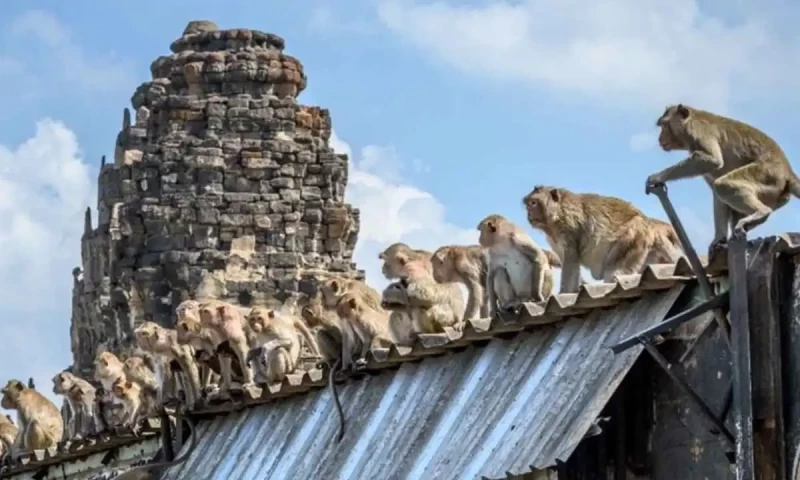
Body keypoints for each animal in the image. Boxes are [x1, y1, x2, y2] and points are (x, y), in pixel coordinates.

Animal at [523, 186, 684, 293]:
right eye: (528, 204)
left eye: (534, 203)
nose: (529, 215)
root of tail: (648, 224)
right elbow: (567, 262)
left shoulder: (569, 228)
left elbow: (571, 262)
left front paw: (565, 293)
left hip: (633, 238)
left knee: (613, 272)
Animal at [646, 103, 800, 253]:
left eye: (664, 125)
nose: (660, 139)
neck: (690, 119)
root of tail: (788, 171)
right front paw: (719, 238)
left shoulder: (699, 131)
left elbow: (712, 160)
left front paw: (656, 178)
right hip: (777, 195)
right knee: (720, 191)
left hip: (767, 174)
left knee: (723, 185)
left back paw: (761, 213)